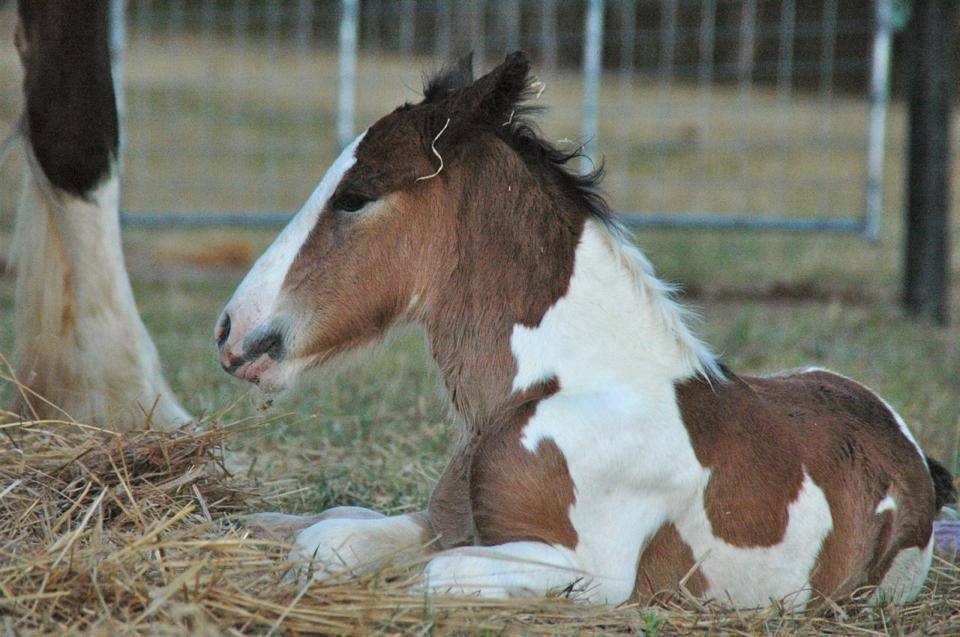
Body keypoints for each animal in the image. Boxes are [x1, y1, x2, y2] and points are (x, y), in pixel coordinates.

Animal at [219, 54, 952, 608]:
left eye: (356, 196)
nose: (232, 331)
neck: (557, 385)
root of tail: (909, 446)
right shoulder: (444, 524)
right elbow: (333, 538)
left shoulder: (588, 569)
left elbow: (427, 574)